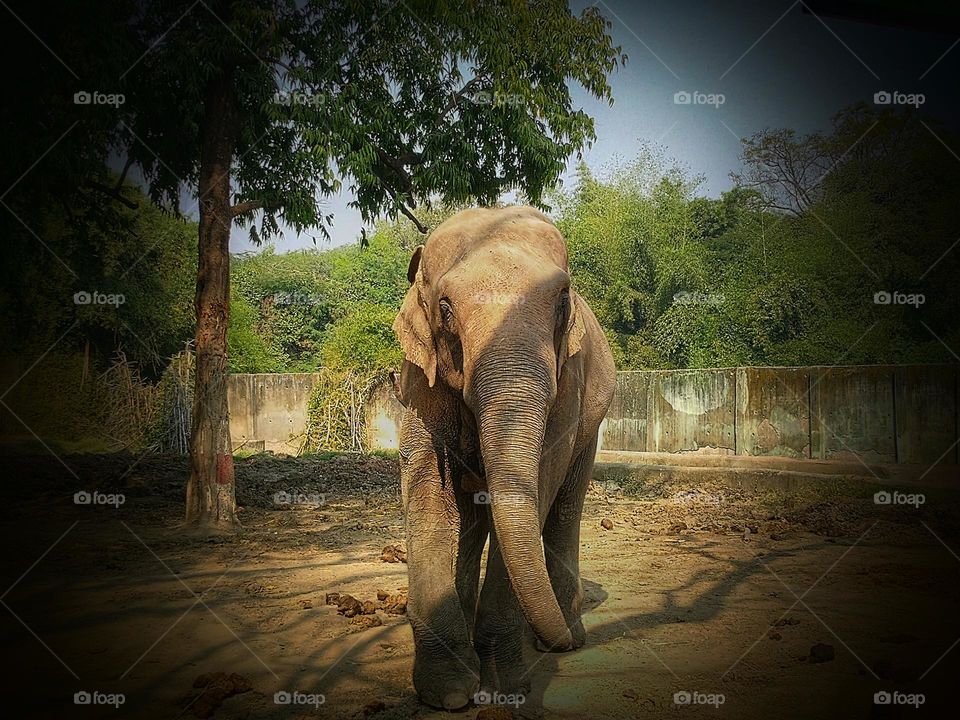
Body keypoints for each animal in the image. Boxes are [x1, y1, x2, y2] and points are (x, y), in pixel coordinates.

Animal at [391, 205, 616, 710]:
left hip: (593, 424)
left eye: (563, 301)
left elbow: (542, 482)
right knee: (471, 518)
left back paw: (566, 636)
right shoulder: (419, 380)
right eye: (445, 308)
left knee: (565, 505)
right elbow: (429, 489)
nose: (556, 637)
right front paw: (449, 692)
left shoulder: (568, 387)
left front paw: (501, 689)